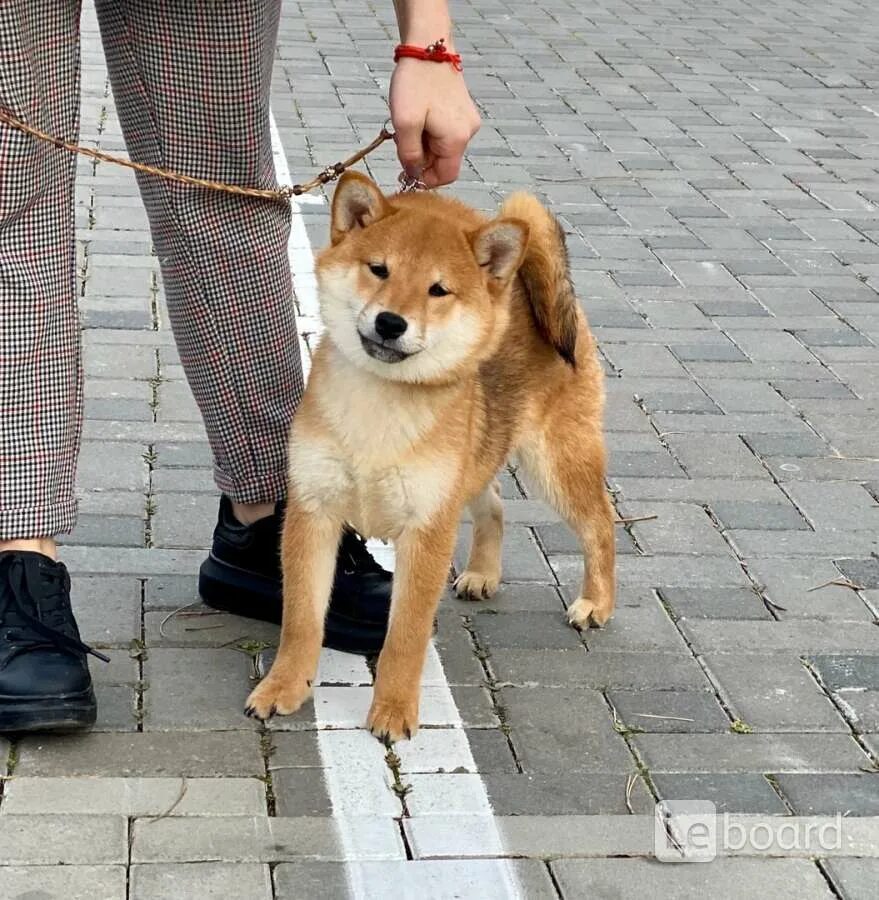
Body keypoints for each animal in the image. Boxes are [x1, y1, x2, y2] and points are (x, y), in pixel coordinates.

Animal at [246, 172, 620, 740]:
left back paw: (596, 602)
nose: (390, 322)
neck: (379, 405)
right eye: (379, 269)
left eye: (438, 290)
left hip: (554, 460)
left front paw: (394, 710)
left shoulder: (427, 526)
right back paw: (483, 573)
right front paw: (283, 687)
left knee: (600, 523)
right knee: (494, 505)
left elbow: (405, 634)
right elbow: (302, 618)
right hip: (475, 460)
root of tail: (520, 292)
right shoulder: (314, 510)